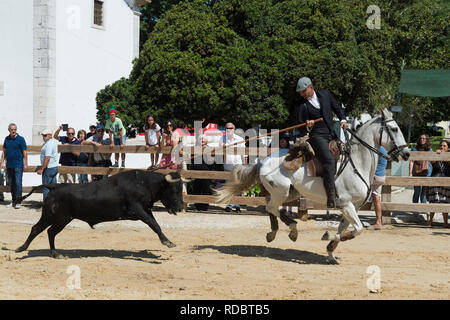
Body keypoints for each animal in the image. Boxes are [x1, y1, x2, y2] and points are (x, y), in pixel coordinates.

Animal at [14, 170, 185, 258]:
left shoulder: (146, 210)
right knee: (36, 229)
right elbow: (153, 224)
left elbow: (155, 224)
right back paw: (21, 249)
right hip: (50, 216)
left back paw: (55, 253)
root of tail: (55, 186)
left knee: (51, 232)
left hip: (63, 219)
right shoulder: (138, 209)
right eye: (173, 189)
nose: (180, 207)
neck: (144, 183)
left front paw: (168, 241)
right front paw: (167, 242)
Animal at [218, 109, 412, 264]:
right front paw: (328, 237)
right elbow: (357, 229)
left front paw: (331, 253)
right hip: (281, 192)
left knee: (269, 207)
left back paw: (274, 233)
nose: (407, 153)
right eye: (394, 129)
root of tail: (262, 162)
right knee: (272, 207)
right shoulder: (347, 205)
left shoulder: (351, 208)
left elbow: (346, 229)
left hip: (291, 193)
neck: (357, 163)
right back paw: (291, 229)